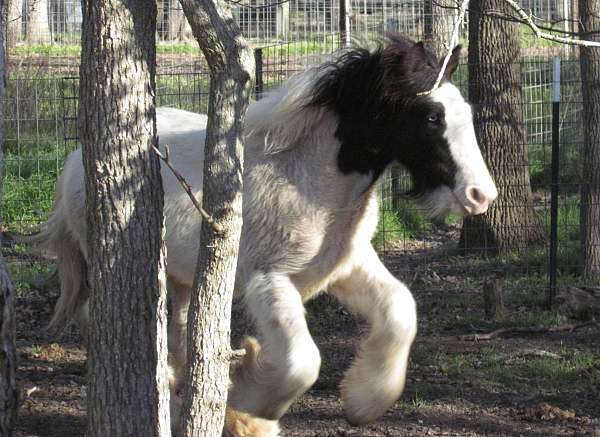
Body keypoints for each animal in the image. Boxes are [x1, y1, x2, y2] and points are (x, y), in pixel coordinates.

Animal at [32, 35, 496, 434]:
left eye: (465, 113)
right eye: (432, 117)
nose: (481, 195)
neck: (311, 181)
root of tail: (76, 159)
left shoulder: (347, 267)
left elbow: (401, 311)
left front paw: (362, 403)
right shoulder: (268, 280)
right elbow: (302, 362)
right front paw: (248, 404)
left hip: (185, 277)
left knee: (178, 333)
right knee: (116, 324)